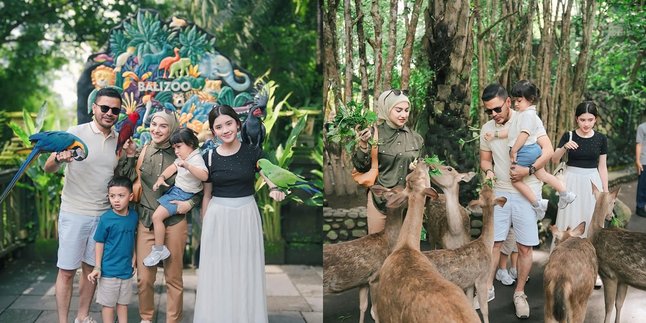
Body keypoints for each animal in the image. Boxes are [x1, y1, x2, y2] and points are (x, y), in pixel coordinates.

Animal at [324, 186, 404, 322]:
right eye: (393, 193)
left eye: (402, 188)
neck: (388, 243)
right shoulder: (375, 277)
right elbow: (375, 311)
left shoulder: (363, 281)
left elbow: (363, 306)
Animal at [588, 185, 646, 323]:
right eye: (614, 202)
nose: (612, 215)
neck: (596, 233)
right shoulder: (623, 278)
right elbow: (619, 304)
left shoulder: (608, 274)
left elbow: (608, 309)